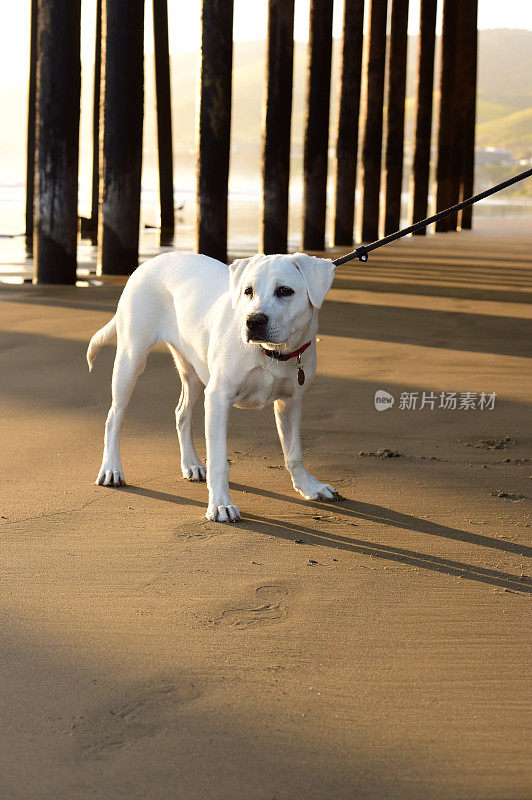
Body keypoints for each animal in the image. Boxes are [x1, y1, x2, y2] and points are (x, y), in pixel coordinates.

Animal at [85, 253, 338, 520]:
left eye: (284, 291)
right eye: (248, 291)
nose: (253, 321)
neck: (273, 353)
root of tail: (149, 262)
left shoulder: (290, 403)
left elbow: (294, 452)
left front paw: (308, 486)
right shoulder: (218, 398)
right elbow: (218, 461)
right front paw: (220, 505)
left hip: (195, 372)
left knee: (181, 413)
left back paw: (192, 464)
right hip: (131, 360)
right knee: (115, 416)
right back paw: (111, 469)